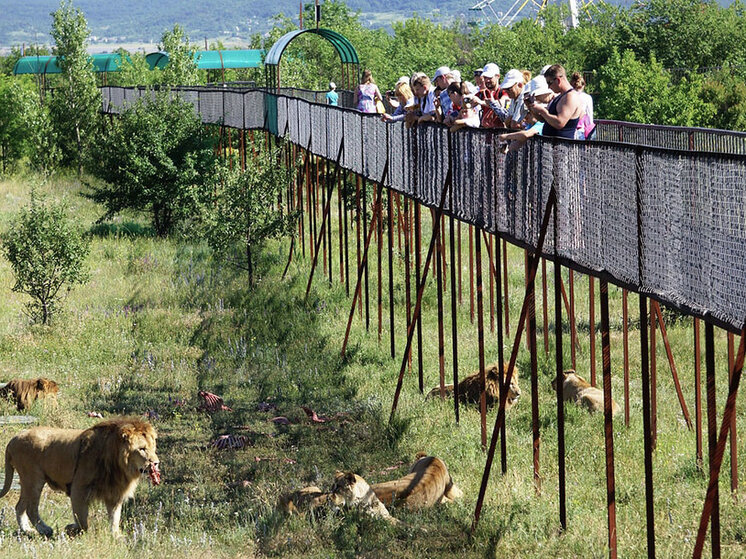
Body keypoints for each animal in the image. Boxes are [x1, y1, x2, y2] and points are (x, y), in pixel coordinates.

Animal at [0, 416, 160, 540]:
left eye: (153, 448)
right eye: (142, 449)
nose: (156, 463)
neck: (118, 465)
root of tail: (14, 439)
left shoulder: (114, 493)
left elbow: (115, 517)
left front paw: (116, 536)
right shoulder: (79, 488)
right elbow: (82, 519)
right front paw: (72, 529)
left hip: (27, 481)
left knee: (20, 506)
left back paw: (27, 530)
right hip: (34, 479)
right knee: (31, 508)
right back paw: (45, 530)